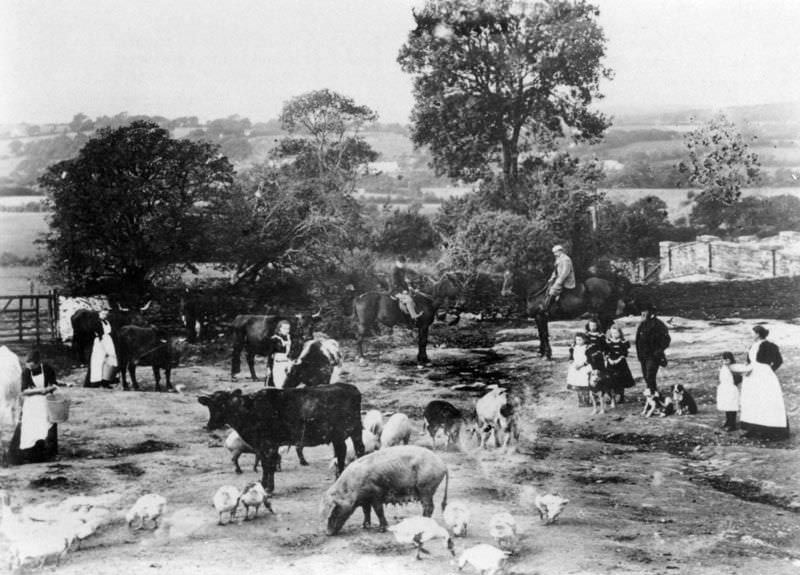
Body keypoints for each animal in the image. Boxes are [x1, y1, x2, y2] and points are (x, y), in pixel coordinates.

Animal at [197, 384, 366, 492]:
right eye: (211, 405)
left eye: (224, 404)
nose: (210, 425)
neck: (250, 410)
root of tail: (351, 388)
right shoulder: (262, 446)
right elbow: (265, 464)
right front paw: (263, 484)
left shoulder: (269, 443)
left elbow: (268, 464)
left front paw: (268, 487)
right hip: (347, 433)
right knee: (349, 450)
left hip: (347, 431)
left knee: (351, 451)